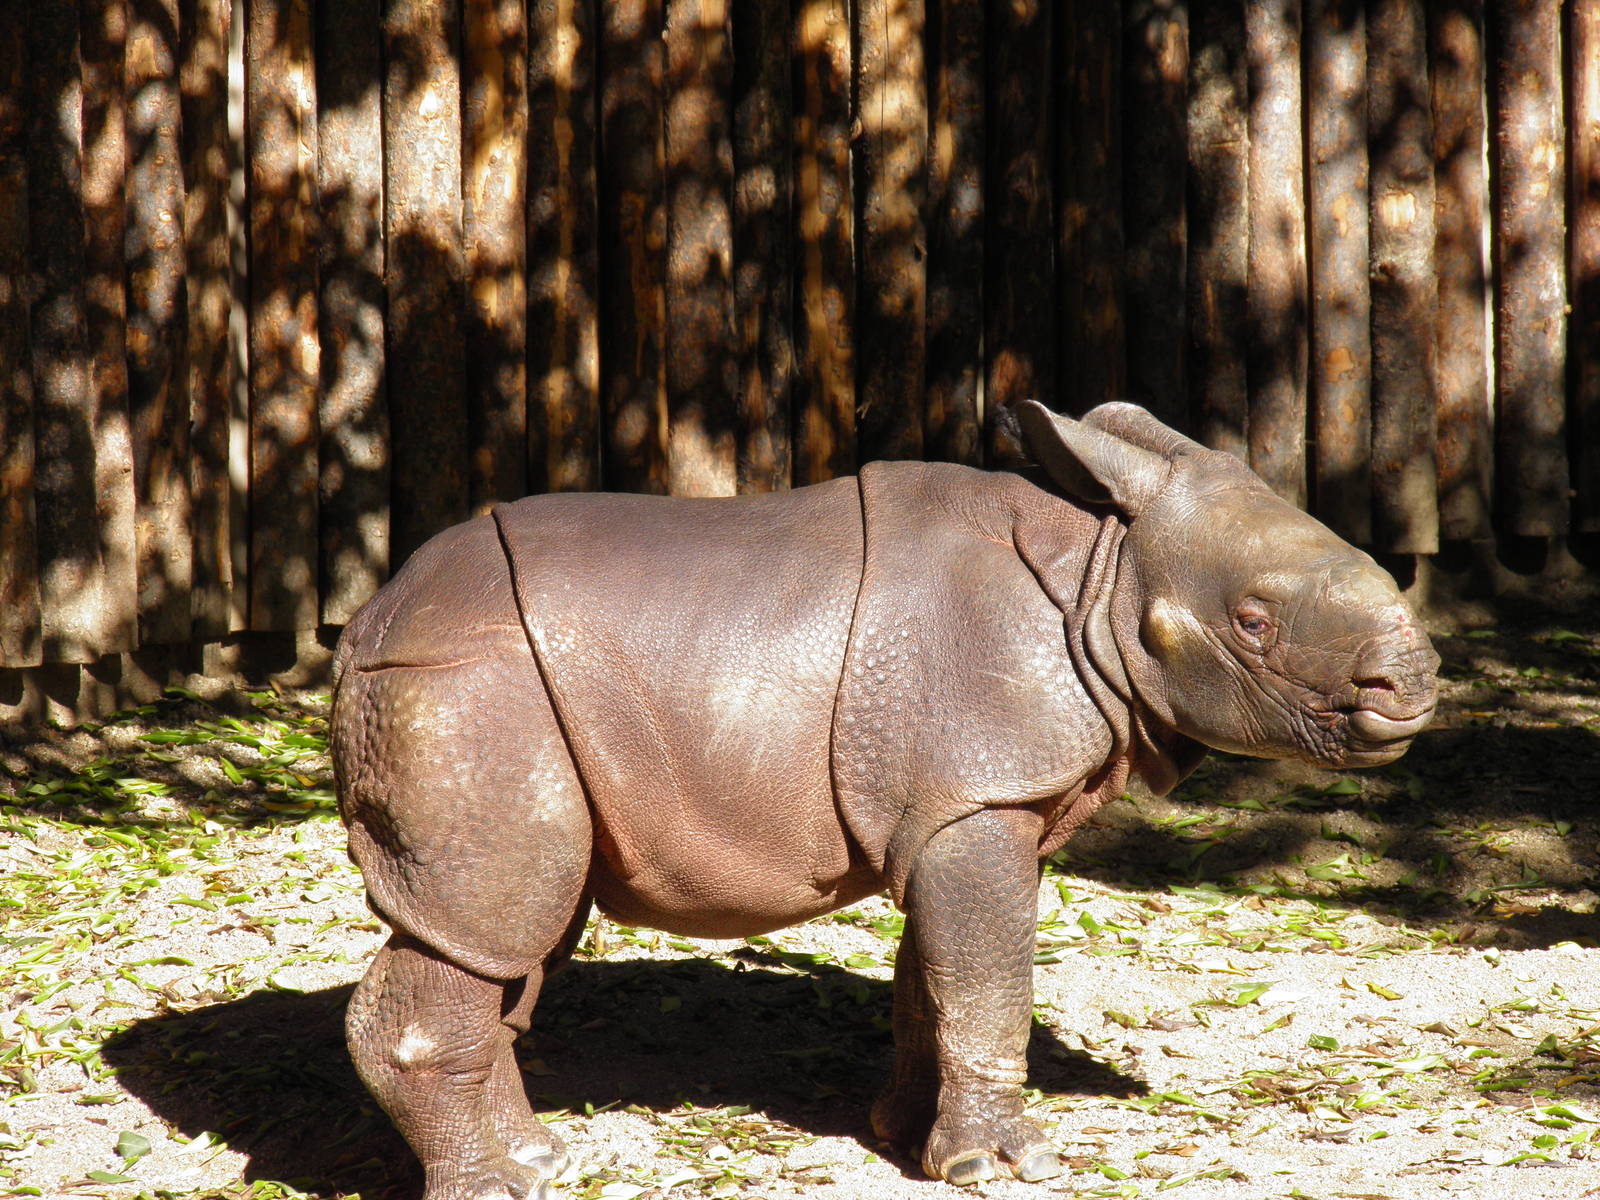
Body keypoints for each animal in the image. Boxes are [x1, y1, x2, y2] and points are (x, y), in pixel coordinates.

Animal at [331, 401, 1438, 1198]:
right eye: (1251, 623)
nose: (1414, 683)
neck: (1101, 572)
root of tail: (368, 621)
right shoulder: (980, 792)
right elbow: (990, 984)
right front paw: (1006, 1168)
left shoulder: (958, 806)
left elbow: (933, 984)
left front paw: (908, 1144)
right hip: (473, 685)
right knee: (489, 925)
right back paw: (501, 1188)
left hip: (499, 699)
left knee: (510, 936)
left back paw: (540, 1163)